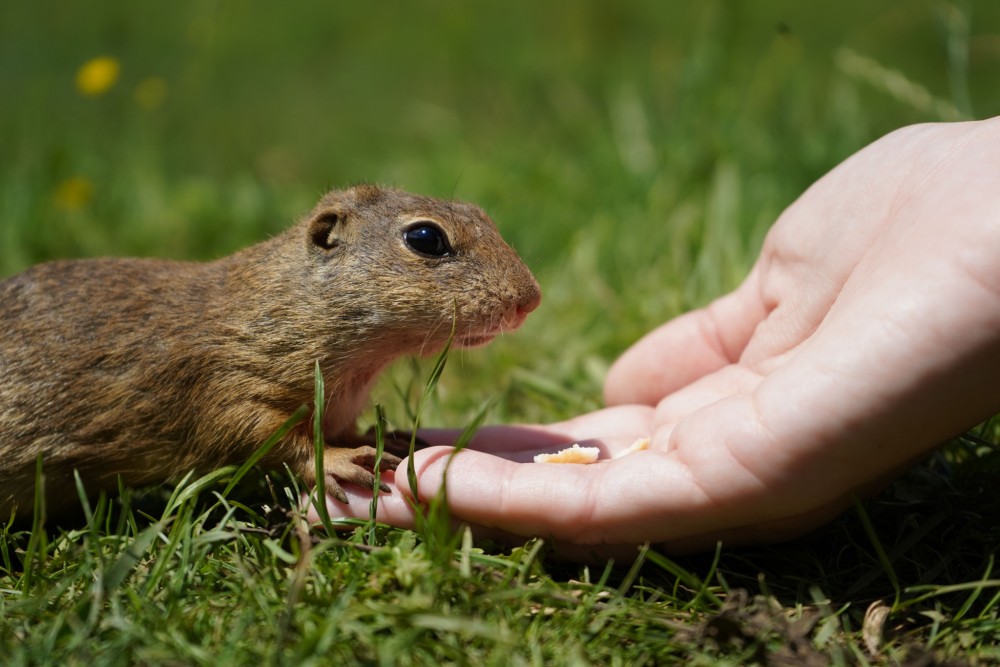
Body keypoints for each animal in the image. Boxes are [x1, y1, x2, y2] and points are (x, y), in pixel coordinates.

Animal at [0, 185, 544, 520]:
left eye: (482, 214)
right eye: (426, 237)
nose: (530, 299)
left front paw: (382, 436)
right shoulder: (225, 383)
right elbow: (259, 433)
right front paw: (340, 461)